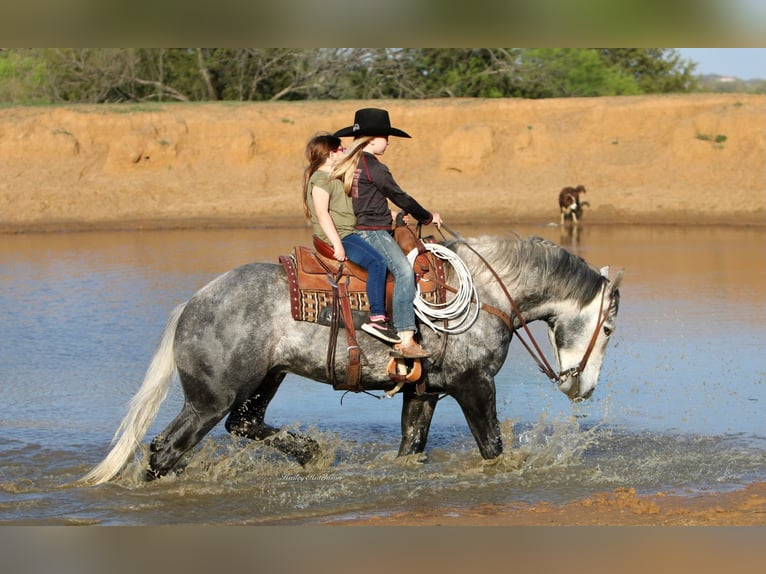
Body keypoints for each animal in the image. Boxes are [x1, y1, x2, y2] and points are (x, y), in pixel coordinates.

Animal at [79, 234, 624, 486]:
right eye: (609, 330)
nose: (582, 387)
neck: (482, 293)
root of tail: (191, 305)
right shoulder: (474, 386)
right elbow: (492, 446)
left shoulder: (424, 392)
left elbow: (410, 448)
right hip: (208, 400)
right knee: (166, 450)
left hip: (264, 380)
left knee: (243, 424)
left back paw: (309, 452)